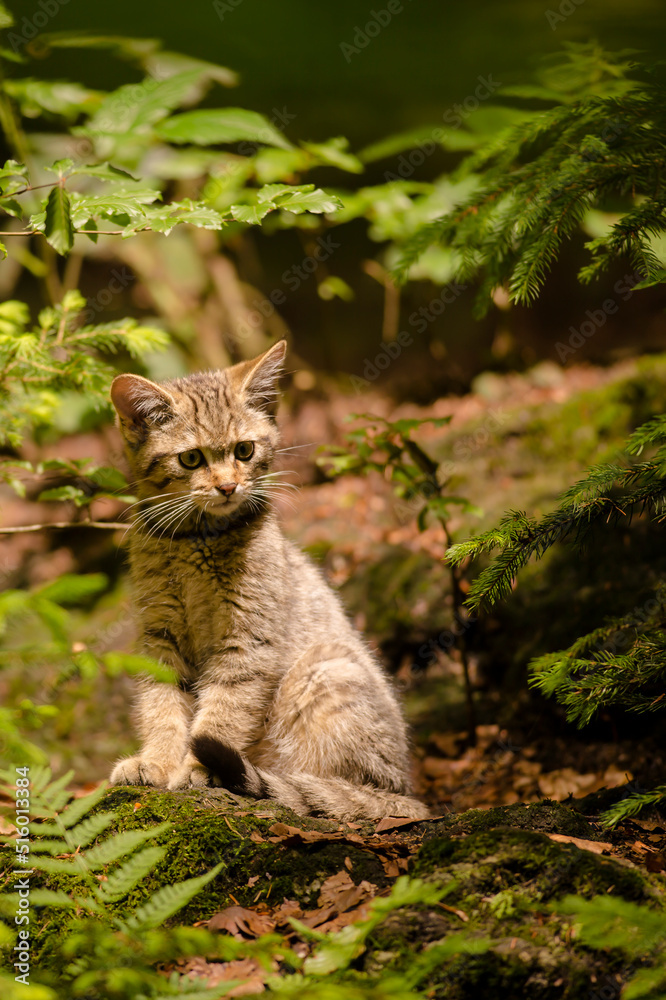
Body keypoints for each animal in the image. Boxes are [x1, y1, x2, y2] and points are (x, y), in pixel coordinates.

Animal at [108, 340, 426, 824]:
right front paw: (157, 761)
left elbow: (222, 714)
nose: (227, 487)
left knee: (345, 789)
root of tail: (405, 789)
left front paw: (197, 768)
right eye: (191, 458)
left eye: (244, 450)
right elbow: (161, 705)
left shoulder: (247, 643)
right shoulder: (159, 635)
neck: (195, 540)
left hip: (329, 671)